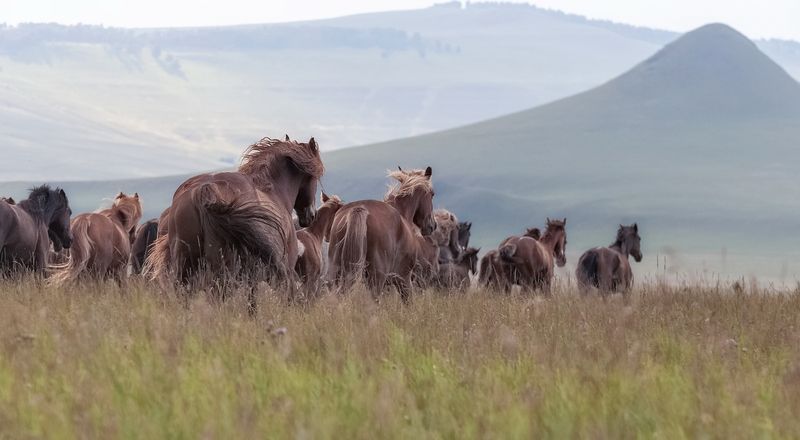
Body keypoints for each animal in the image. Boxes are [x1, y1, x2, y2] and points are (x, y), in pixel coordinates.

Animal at [147, 137, 323, 307]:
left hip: (185, 266)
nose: (311, 216)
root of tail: (203, 190)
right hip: (221, 269)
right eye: (314, 178)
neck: (274, 191)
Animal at [327, 167, 436, 302]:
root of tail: (358, 209)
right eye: (432, 194)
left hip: (335, 273)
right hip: (377, 278)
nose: (432, 226)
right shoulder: (403, 278)